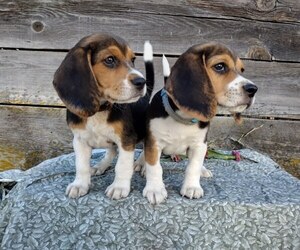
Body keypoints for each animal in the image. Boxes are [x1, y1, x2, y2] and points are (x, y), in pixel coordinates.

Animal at [52, 34, 154, 200]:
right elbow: (81, 166)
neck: (100, 110)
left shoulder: (126, 140)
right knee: (111, 151)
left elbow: (122, 166)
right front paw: (80, 185)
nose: (141, 82)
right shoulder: (79, 140)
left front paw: (119, 187)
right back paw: (102, 165)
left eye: (132, 59)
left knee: (146, 149)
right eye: (110, 59)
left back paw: (141, 164)